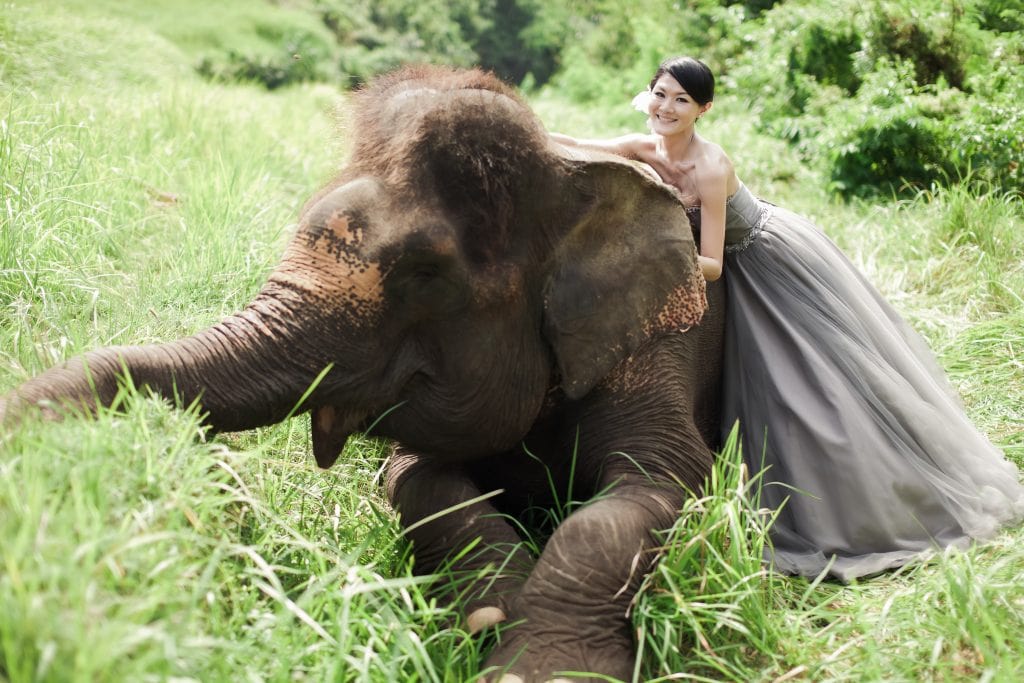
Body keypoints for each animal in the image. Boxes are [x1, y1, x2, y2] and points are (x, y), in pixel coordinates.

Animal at [4, 65, 733, 683]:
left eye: (424, 274)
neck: (571, 177)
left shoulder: (662, 342)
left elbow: (663, 478)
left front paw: (543, 669)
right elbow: (418, 478)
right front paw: (490, 611)